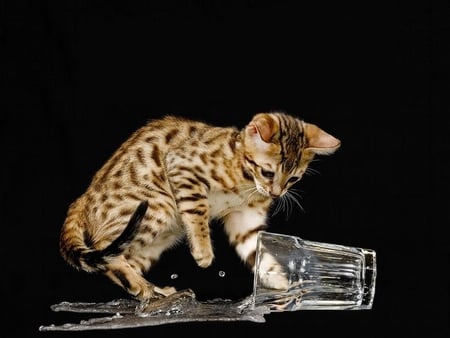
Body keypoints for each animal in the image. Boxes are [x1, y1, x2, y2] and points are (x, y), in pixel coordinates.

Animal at [59, 112, 342, 302]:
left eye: (293, 178)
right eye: (268, 172)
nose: (276, 193)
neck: (245, 178)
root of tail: (82, 197)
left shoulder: (247, 218)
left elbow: (257, 250)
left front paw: (279, 280)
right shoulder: (182, 167)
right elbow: (198, 213)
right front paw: (203, 252)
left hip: (160, 234)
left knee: (120, 261)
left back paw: (152, 290)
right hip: (156, 205)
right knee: (106, 249)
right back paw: (143, 287)